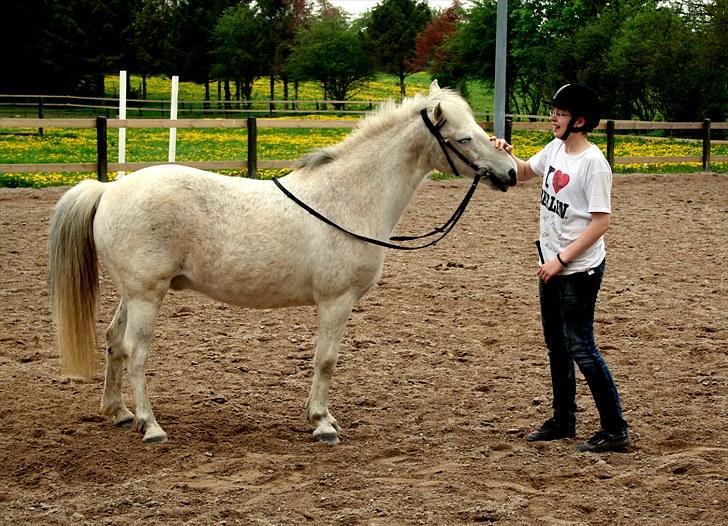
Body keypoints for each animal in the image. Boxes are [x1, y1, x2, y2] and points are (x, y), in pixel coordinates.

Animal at [47, 81, 516, 446]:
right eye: (465, 137)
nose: (510, 171)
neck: (348, 196)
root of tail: (108, 189)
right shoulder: (336, 301)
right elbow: (326, 359)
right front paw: (322, 423)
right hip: (147, 295)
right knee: (136, 352)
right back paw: (150, 426)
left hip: (133, 293)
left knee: (113, 342)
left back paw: (119, 412)